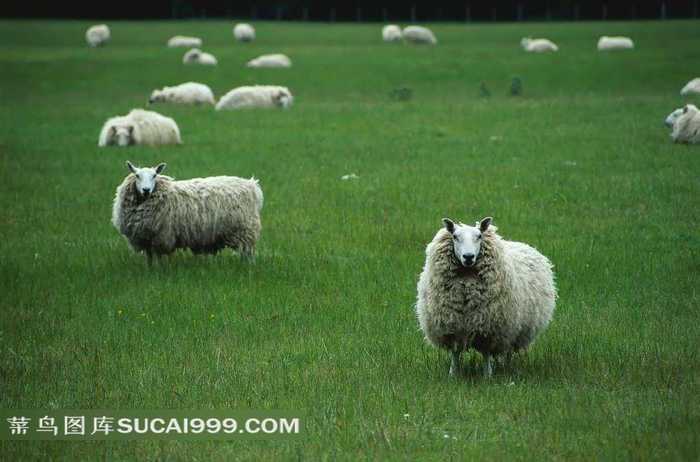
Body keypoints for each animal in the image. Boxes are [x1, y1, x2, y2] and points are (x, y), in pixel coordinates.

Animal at [112, 162, 266, 266]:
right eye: (137, 176)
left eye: (154, 175)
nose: (146, 190)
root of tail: (253, 186)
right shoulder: (145, 238)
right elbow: (149, 257)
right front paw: (149, 270)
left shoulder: (161, 236)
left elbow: (159, 257)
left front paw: (159, 270)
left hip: (245, 230)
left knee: (247, 254)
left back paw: (248, 269)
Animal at [416, 217, 556, 378]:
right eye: (455, 237)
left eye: (479, 236)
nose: (468, 257)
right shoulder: (453, 326)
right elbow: (455, 352)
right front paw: (453, 374)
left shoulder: (489, 328)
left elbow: (486, 352)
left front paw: (487, 376)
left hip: (512, 329)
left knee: (507, 351)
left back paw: (506, 367)